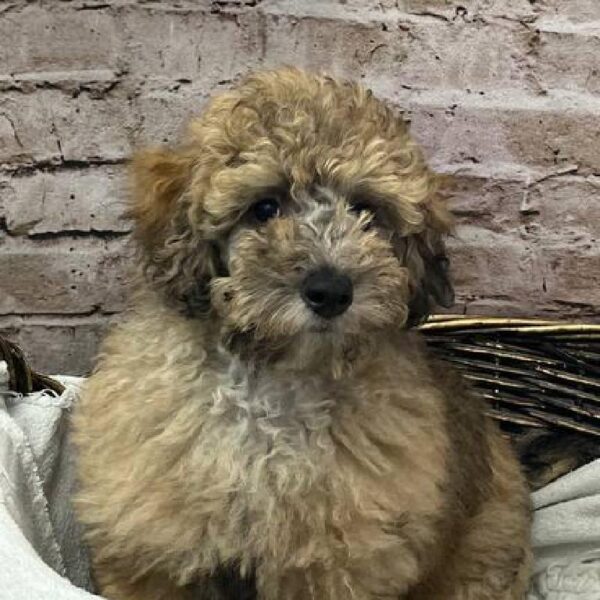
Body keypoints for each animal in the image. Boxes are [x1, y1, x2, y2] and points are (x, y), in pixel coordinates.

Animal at [72, 68, 532, 596]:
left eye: (366, 211)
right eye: (264, 208)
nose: (331, 291)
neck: (271, 387)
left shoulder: (333, 565)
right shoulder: (153, 547)